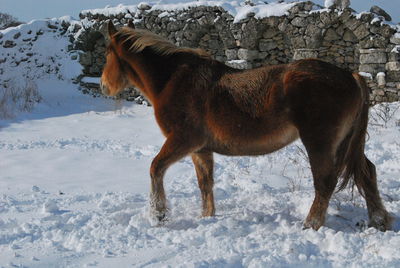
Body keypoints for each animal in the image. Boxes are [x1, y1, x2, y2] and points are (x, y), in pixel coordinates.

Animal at [100, 20, 394, 230]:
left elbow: (155, 168)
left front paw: (158, 214)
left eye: (107, 53)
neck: (174, 80)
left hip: (320, 143)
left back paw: (311, 224)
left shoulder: (183, 140)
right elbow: (205, 184)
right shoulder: (201, 150)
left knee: (325, 182)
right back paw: (379, 220)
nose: (103, 86)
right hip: (346, 143)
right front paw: (207, 218)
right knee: (367, 172)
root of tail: (352, 75)